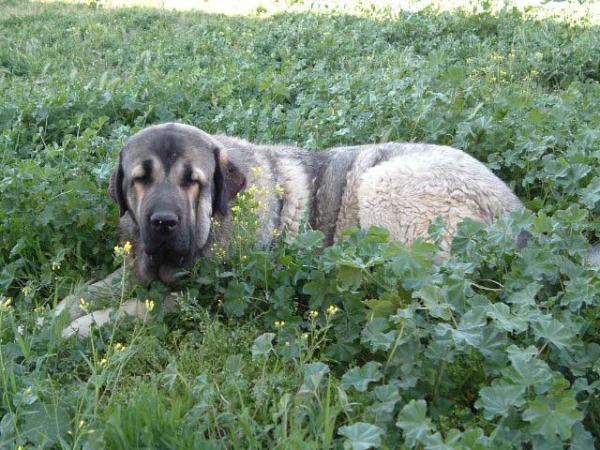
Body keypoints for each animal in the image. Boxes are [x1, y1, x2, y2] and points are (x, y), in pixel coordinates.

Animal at [56, 121, 524, 336]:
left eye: (194, 181)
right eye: (141, 178)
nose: (163, 222)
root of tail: (515, 210)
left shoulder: (206, 296)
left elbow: (139, 307)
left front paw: (81, 327)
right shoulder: (133, 267)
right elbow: (86, 291)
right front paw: (50, 317)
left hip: (382, 184)